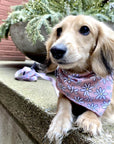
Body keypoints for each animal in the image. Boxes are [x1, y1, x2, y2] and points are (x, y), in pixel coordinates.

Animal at [44, 14, 114, 143]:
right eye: (59, 30)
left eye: (85, 29)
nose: (56, 50)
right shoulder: (62, 94)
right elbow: (64, 104)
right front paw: (58, 124)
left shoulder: (109, 99)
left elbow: (100, 107)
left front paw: (90, 119)